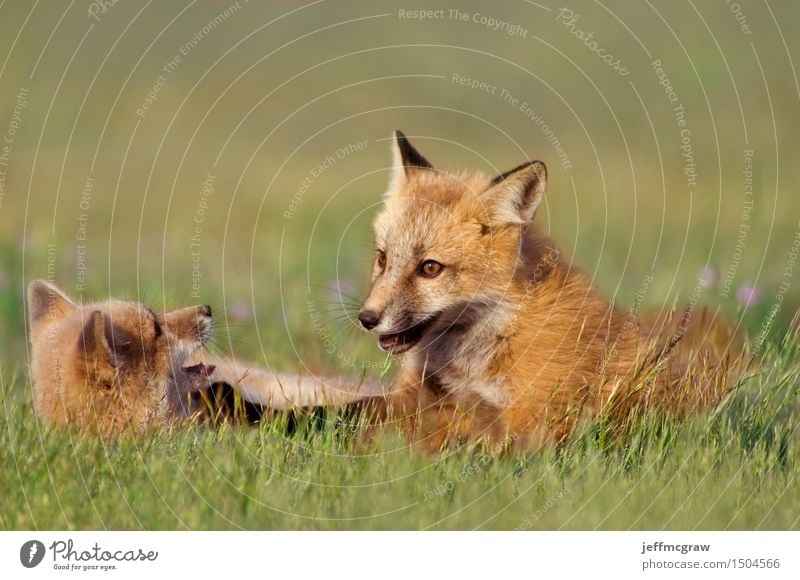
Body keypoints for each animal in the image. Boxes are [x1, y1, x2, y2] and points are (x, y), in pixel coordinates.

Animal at [360, 133, 748, 454]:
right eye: (382, 258)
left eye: (430, 268)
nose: (366, 318)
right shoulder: (419, 395)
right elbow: (362, 413)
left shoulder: (530, 421)